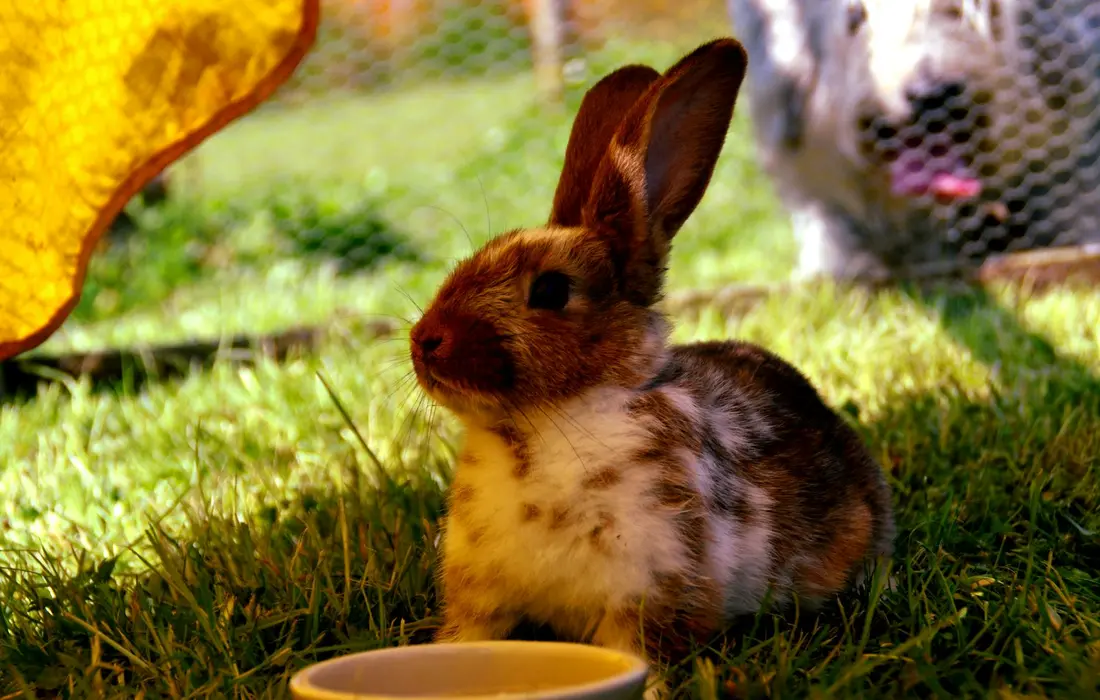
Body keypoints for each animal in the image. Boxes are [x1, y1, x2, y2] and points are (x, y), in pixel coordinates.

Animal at [408, 36, 896, 685]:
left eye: (552, 291)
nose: (424, 340)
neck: (537, 425)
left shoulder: (651, 593)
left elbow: (646, 658)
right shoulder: (482, 603)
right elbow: (469, 639)